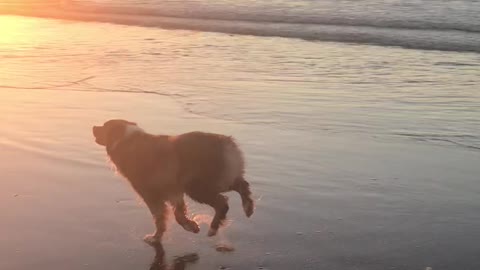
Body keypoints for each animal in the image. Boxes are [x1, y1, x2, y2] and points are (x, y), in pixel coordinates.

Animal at [92, 119, 253, 246]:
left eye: (104, 126)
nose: (93, 126)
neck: (126, 140)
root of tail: (226, 142)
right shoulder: (174, 192)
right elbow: (178, 214)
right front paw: (191, 226)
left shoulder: (151, 195)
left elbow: (160, 219)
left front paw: (155, 238)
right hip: (220, 179)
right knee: (242, 185)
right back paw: (248, 208)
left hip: (196, 186)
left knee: (222, 202)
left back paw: (213, 228)